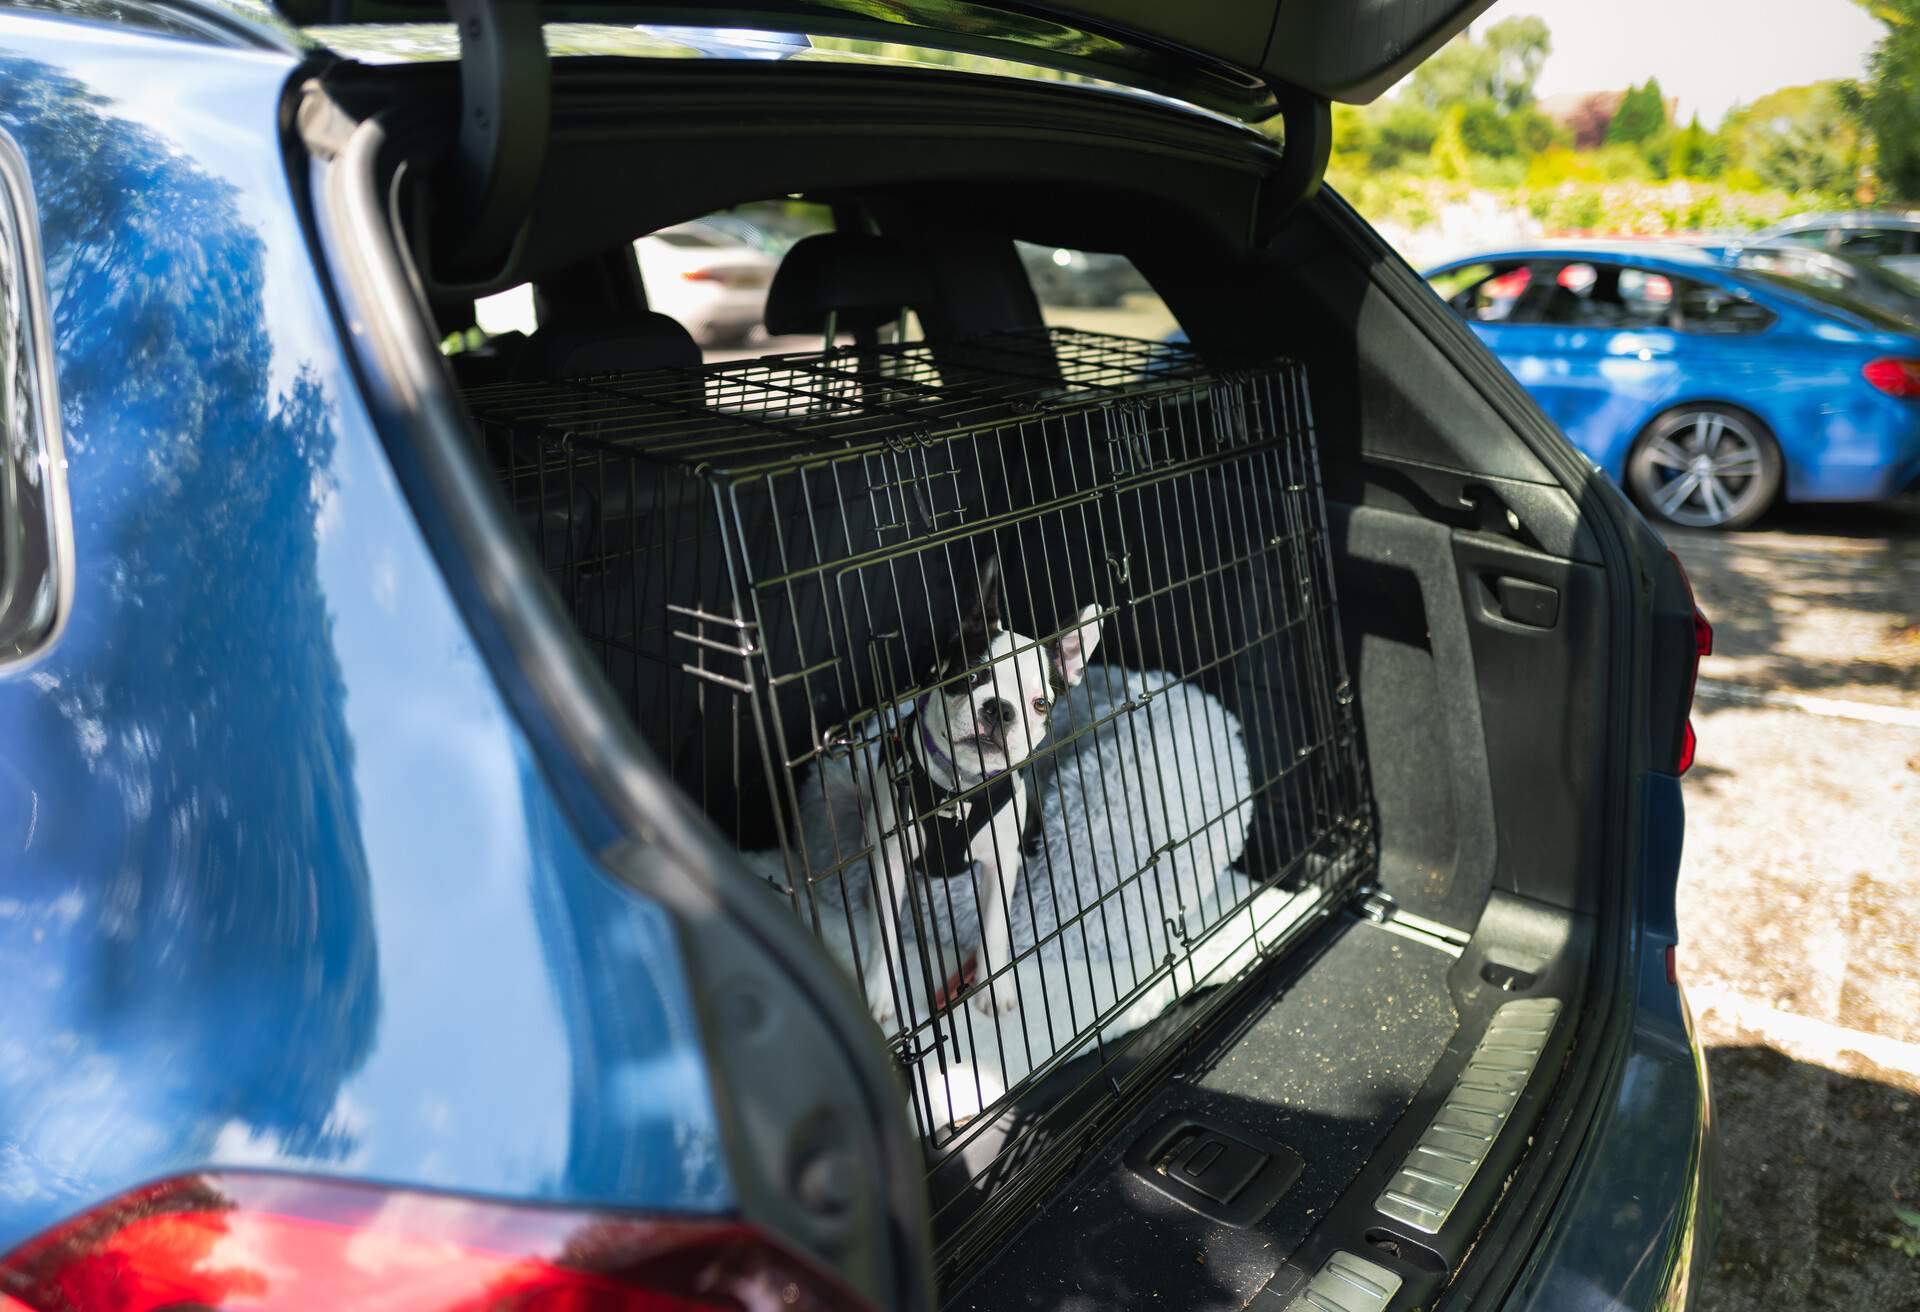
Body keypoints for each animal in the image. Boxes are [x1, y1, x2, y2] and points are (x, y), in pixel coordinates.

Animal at [768, 557, 1098, 1029]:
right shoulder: (890, 863)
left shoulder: (999, 864)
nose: (999, 708)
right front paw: (879, 993)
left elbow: (994, 927)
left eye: (1040, 704)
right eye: (970, 675)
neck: (958, 791)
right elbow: (883, 935)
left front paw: (994, 987)